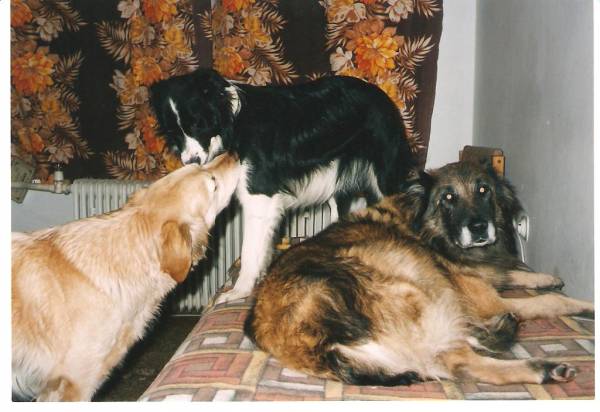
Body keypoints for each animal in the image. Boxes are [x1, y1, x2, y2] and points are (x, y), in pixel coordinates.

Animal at [149, 69, 416, 303]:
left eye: (197, 124)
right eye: (174, 132)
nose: (190, 163)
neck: (232, 121)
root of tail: (382, 96)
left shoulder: (259, 194)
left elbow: (249, 249)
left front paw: (239, 292)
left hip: (383, 176)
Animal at [244, 161, 594, 386]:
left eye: (484, 190)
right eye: (448, 197)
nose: (479, 228)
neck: (425, 228)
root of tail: (317, 343)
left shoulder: (482, 273)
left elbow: (514, 272)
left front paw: (547, 278)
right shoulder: (485, 299)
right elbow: (550, 301)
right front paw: (585, 304)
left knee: (462, 362)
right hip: (418, 288)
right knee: (459, 357)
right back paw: (540, 363)